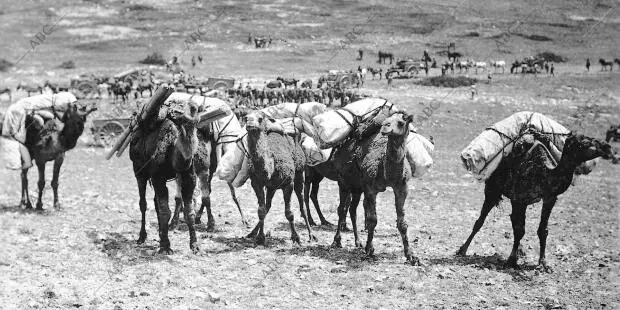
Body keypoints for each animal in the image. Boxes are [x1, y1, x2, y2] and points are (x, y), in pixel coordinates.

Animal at [243, 112, 314, 246]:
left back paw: (311, 235)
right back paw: (252, 233)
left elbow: (289, 213)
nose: (249, 123)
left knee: (302, 204)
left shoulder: (288, 183)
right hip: (272, 187)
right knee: (268, 206)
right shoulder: (256, 183)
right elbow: (261, 210)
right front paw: (260, 237)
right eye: (245, 118)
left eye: (260, 118)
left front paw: (296, 237)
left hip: (299, 174)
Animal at [332, 112, 418, 266]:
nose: (385, 127)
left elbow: (402, 223)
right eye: (386, 121)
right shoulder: (371, 188)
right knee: (342, 209)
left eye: (401, 122)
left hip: (357, 187)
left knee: (353, 209)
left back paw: (358, 242)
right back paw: (336, 241)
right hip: (344, 182)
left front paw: (411, 256)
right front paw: (370, 250)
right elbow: (373, 219)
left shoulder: (402, 188)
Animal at [456, 132, 616, 272]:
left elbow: (542, 230)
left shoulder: (549, 198)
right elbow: (520, 229)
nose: (607, 147)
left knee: (512, 221)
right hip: (493, 190)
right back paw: (462, 250)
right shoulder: (519, 199)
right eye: (584, 142)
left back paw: (520, 251)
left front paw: (543, 263)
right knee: (481, 220)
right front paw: (511, 261)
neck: (544, 174)